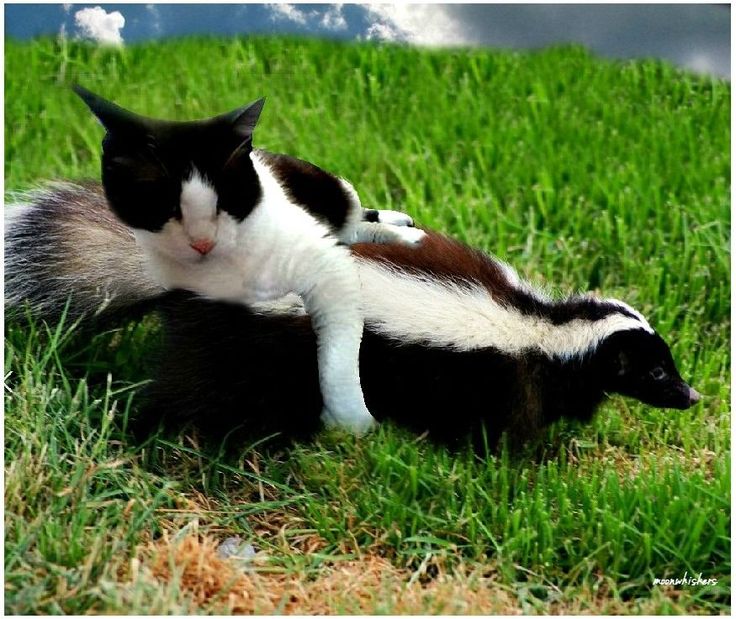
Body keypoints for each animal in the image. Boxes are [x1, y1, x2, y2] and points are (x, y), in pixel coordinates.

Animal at [2, 183, 700, 446]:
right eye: (655, 371)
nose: (693, 395)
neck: (547, 330)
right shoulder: (502, 378)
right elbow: (501, 432)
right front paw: (519, 461)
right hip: (238, 352)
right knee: (190, 395)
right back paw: (155, 437)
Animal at [72, 86, 428, 436]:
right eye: (164, 207)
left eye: (225, 201)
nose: (202, 242)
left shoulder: (321, 262)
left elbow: (338, 337)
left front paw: (351, 421)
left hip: (331, 191)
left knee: (354, 220)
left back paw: (401, 230)